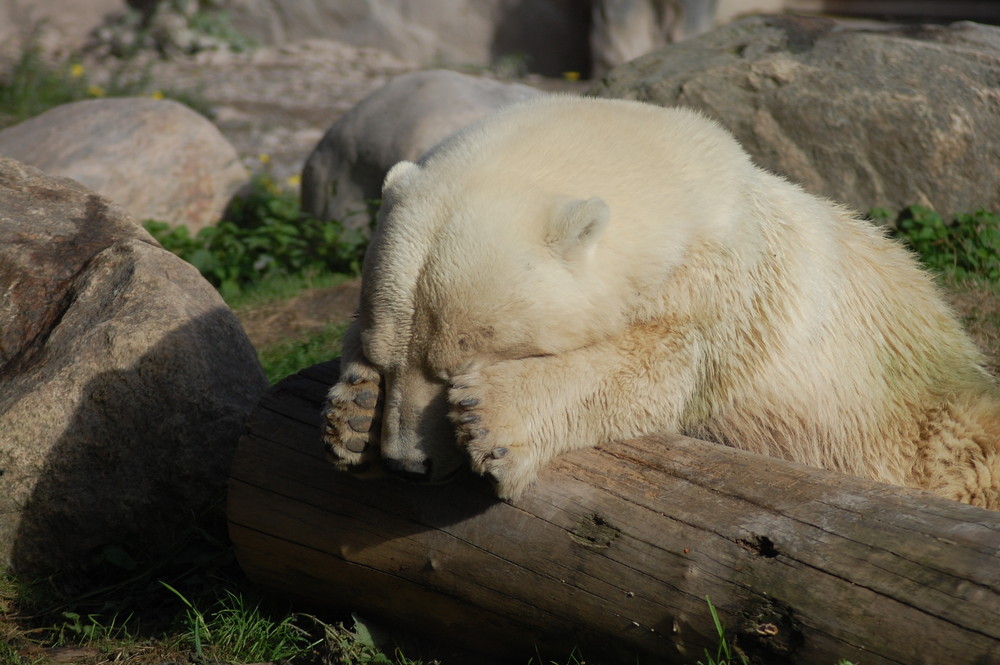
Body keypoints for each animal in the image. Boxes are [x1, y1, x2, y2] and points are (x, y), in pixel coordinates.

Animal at [322, 94, 1000, 508]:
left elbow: (660, 364)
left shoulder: (726, 286)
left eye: (455, 365)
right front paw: (354, 413)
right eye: (387, 357)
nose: (407, 465)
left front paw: (494, 419)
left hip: (930, 418)